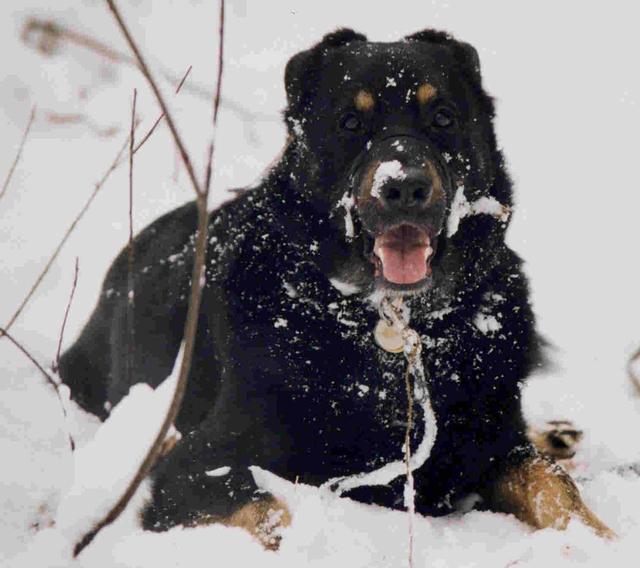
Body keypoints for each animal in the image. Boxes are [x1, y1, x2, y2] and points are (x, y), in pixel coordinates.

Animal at [59, 28, 612, 547]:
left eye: (443, 118)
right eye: (350, 124)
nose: (403, 186)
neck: (391, 324)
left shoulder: (495, 441)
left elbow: (552, 483)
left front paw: (600, 537)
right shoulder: (194, 469)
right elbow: (271, 513)